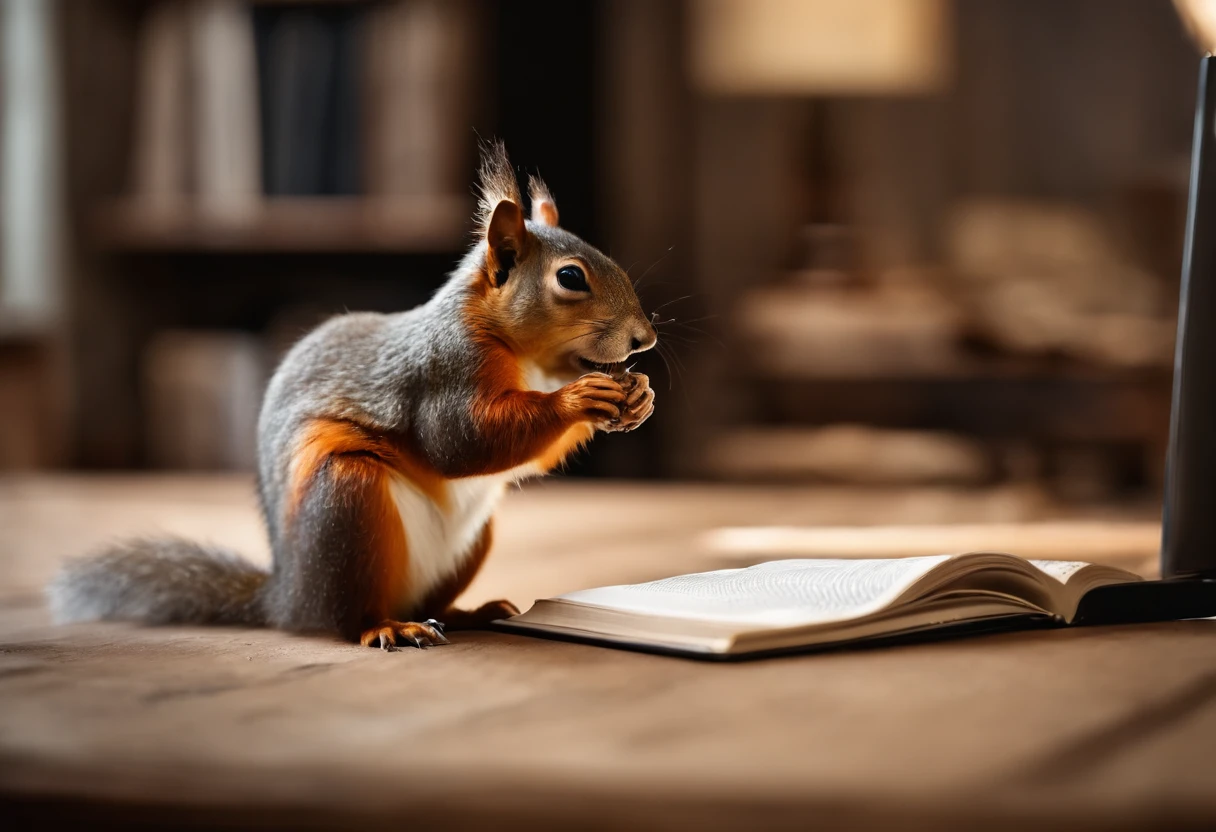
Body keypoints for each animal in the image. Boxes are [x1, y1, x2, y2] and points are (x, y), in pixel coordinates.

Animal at [49, 141, 656, 651]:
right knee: (346, 617)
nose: (644, 339)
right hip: (347, 505)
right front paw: (578, 401)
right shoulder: (445, 369)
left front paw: (637, 397)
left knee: (432, 601)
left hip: (466, 539)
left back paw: (469, 613)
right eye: (571, 278)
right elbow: (461, 441)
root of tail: (289, 599)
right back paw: (386, 626)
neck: (528, 361)